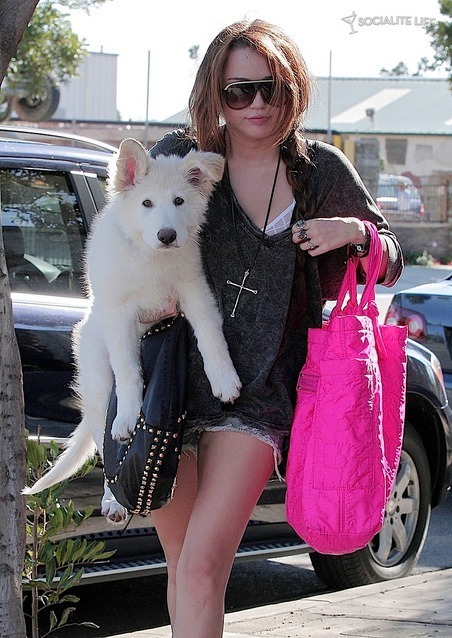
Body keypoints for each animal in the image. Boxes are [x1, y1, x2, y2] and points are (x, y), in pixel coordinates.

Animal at [23, 138, 244, 524]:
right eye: (146, 204)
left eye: (179, 201)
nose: (167, 235)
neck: (150, 256)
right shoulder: (119, 314)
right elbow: (128, 371)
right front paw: (128, 414)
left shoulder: (194, 290)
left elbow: (211, 336)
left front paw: (224, 379)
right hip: (97, 384)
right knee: (103, 443)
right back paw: (113, 500)